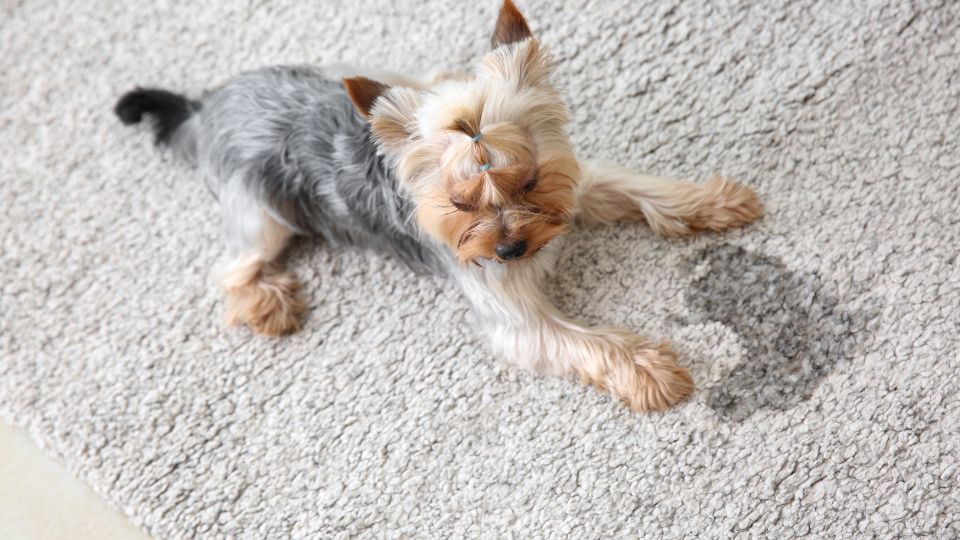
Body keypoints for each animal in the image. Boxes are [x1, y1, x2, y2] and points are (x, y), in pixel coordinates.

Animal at [114, 0, 756, 412]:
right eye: (457, 204)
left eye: (529, 182)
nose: (510, 249)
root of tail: (204, 108)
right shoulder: (518, 319)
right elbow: (588, 340)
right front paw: (649, 369)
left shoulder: (575, 188)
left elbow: (637, 189)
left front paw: (715, 201)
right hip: (261, 209)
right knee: (235, 266)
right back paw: (267, 302)